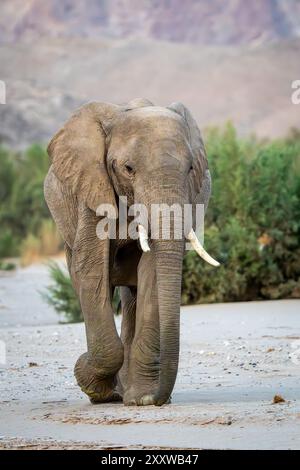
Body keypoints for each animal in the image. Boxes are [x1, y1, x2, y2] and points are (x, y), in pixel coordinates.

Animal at [44, 97, 218, 406]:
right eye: (128, 168)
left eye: (190, 169)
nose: (160, 398)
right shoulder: (92, 188)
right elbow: (92, 270)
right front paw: (92, 383)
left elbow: (152, 272)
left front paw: (142, 399)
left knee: (132, 297)